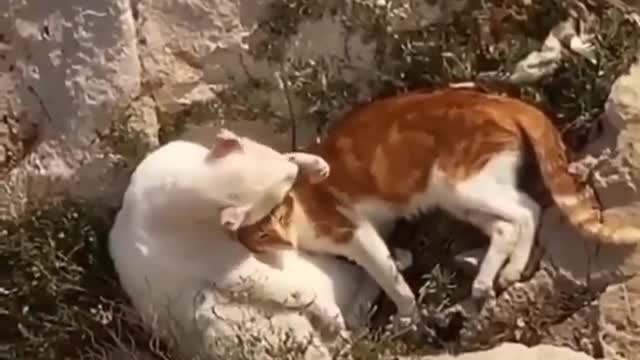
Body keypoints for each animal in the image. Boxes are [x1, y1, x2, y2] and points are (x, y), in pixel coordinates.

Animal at [109, 131, 380, 358]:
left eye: (289, 178)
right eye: (277, 201)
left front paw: (310, 163)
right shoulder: (209, 254)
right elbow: (264, 280)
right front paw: (329, 314)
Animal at [230, 85, 640, 324]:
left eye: (280, 210)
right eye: (261, 233)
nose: (282, 238)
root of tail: (499, 100)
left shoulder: (354, 232)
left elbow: (386, 276)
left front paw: (405, 314)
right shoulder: (377, 229)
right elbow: (378, 275)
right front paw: (366, 314)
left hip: (462, 183)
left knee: (527, 209)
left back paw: (507, 270)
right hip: (460, 200)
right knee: (507, 224)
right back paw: (489, 278)